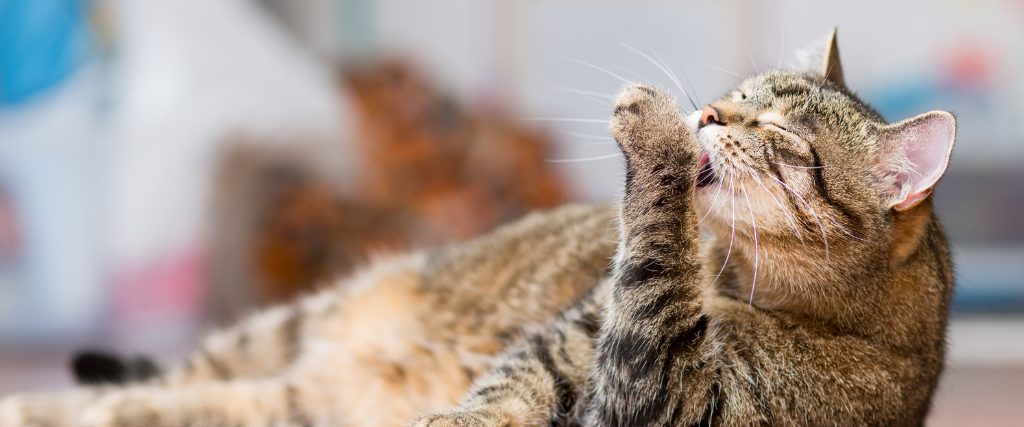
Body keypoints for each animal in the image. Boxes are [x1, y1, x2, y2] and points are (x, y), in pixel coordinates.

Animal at [2, 29, 958, 425]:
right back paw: (50, 403)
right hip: (289, 327)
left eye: (778, 131)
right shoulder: (572, 336)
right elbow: (505, 387)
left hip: (288, 394)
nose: (711, 112)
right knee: (177, 381)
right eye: (739, 94)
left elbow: (650, 279)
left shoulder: (665, 395)